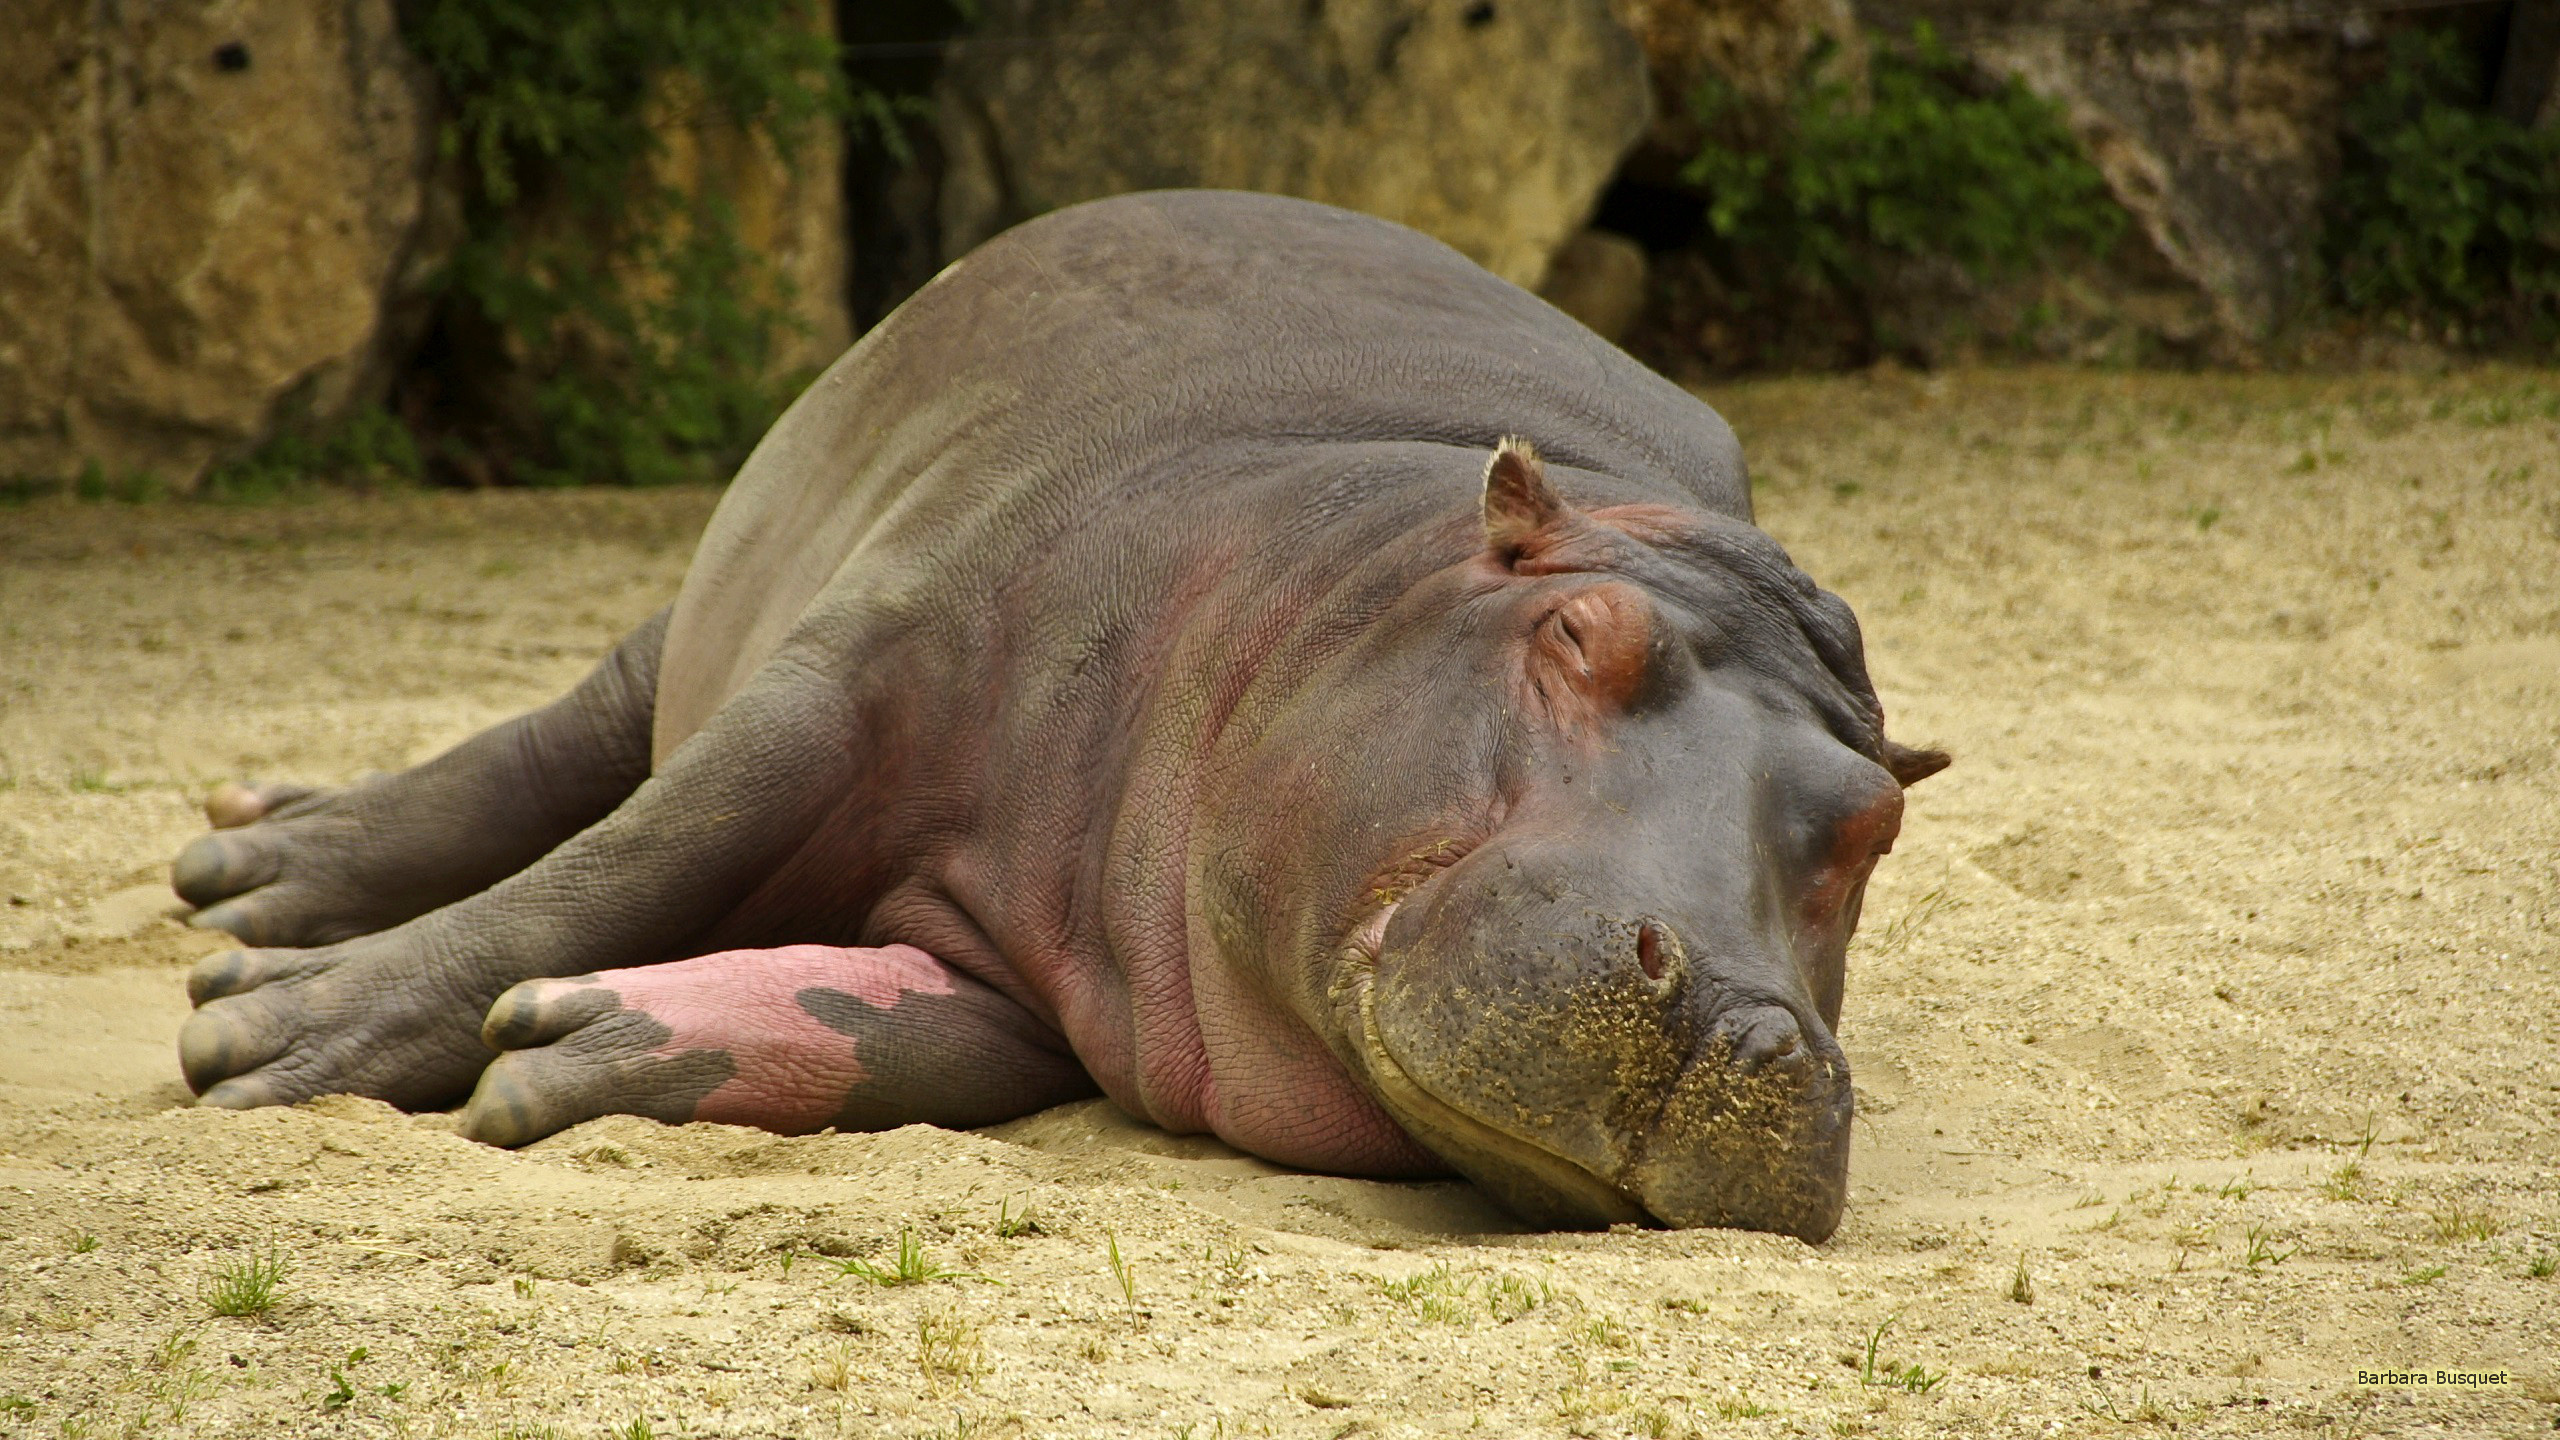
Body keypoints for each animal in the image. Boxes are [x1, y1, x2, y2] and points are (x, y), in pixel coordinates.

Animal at [175, 190, 1935, 1240]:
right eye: (1579, 632)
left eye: (1878, 821)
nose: (1748, 1026)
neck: (1358, 558)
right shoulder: (850, 673)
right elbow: (613, 866)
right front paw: (253, 1040)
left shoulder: (1064, 951)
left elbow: (912, 1028)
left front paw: (567, 1045)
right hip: (712, 608)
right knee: (574, 749)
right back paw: (247, 869)